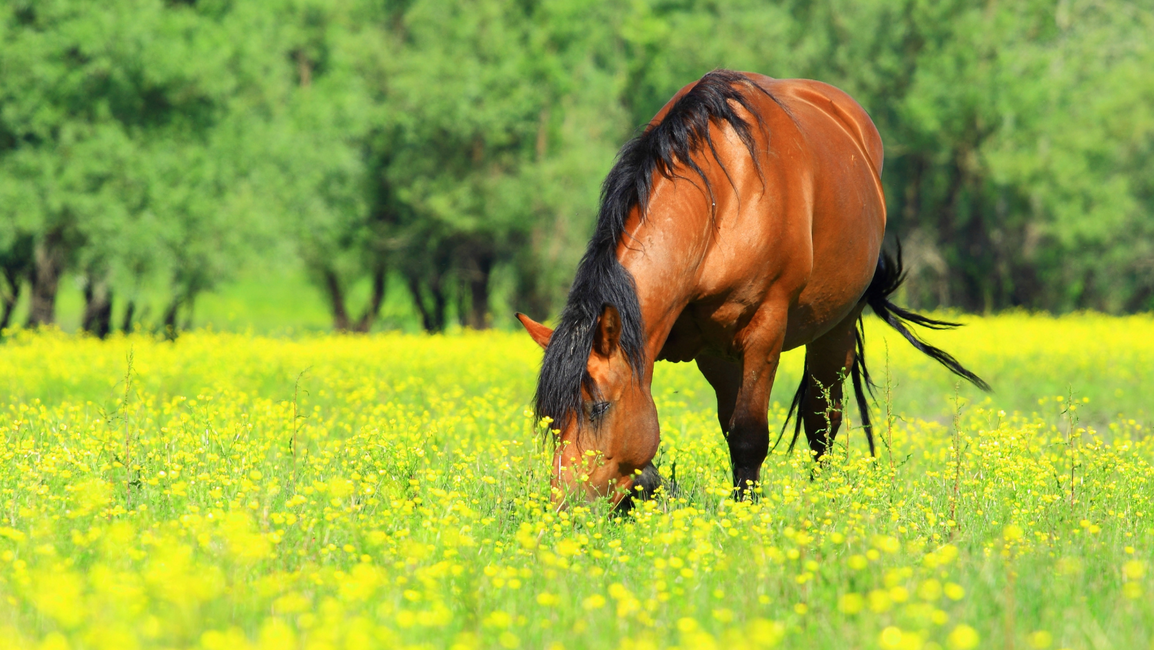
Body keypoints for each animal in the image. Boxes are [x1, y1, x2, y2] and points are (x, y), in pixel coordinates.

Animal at [519, 69, 987, 507]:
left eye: (598, 406)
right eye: (552, 419)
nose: (564, 505)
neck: (721, 205)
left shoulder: (763, 332)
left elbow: (748, 435)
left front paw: (747, 511)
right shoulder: (709, 349)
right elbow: (716, 434)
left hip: (836, 327)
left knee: (823, 421)